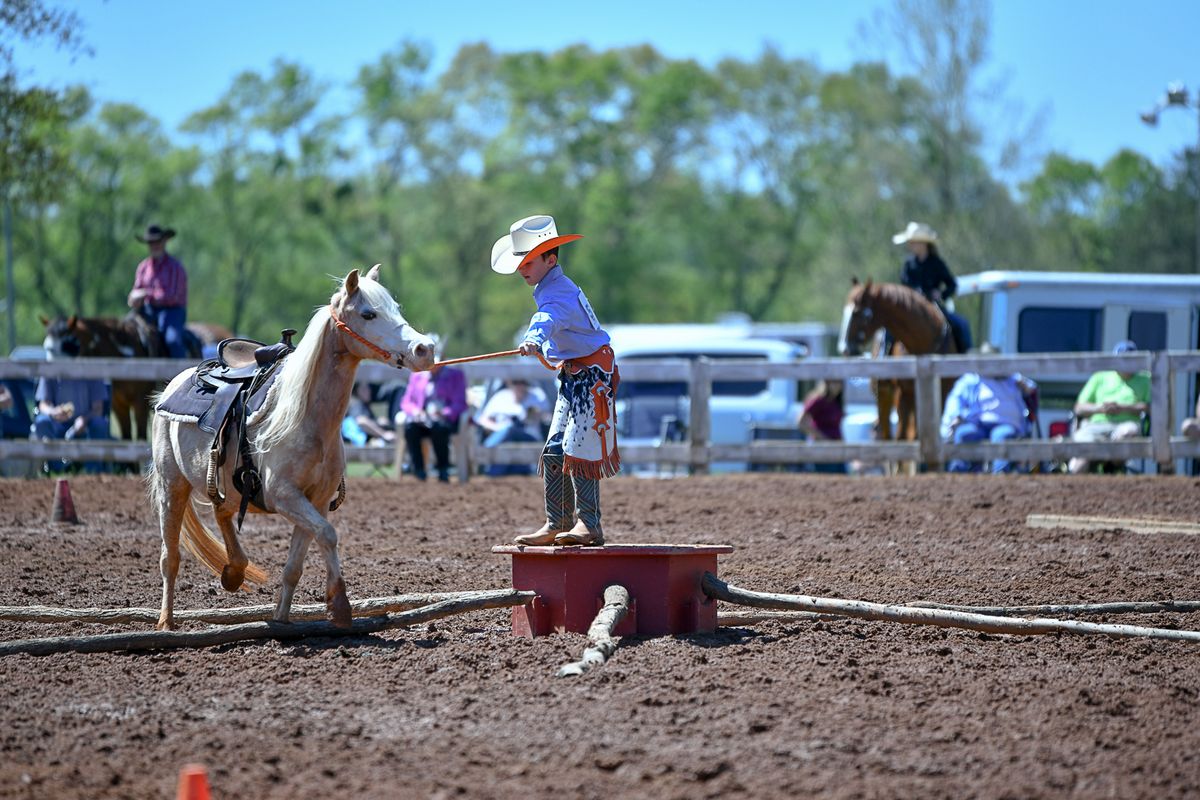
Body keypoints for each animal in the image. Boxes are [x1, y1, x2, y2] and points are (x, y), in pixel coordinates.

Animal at [41, 314, 232, 441]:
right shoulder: (118, 405)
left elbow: (140, 436)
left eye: (68, 344)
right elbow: (126, 436)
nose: (53, 376)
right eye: (48, 347)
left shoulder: (140, 402)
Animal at [147, 267, 434, 633]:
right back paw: (166, 622)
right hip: (171, 486)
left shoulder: (315, 500)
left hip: (226, 486)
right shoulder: (285, 496)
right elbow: (328, 534)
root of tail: (173, 384)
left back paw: (235, 570)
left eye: (396, 308)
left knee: (222, 513)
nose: (425, 348)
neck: (307, 420)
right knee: (170, 556)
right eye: (369, 313)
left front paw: (283, 621)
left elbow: (295, 565)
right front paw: (340, 605)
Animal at [840, 281, 960, 470]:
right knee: (887, 435)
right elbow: (902, 436)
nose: (846, 349)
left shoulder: (942, 394)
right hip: (887, 396)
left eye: (858, 312)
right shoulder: (904, 394)